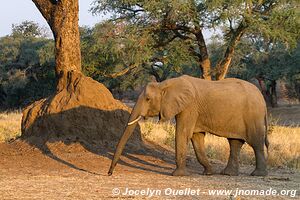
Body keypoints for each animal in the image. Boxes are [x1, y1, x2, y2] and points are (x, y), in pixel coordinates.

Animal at [108, 74, 270, 177]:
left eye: (148, 99)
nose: (110, 173)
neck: (165, 84)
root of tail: (263, 99)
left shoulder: (189, 106)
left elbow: (183, 133)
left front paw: (177, 175)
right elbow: (196, 138)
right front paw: (208, 173)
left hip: (253, 116)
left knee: (256, 143)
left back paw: (257, 174)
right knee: (235, 143)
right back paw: (228, 174)